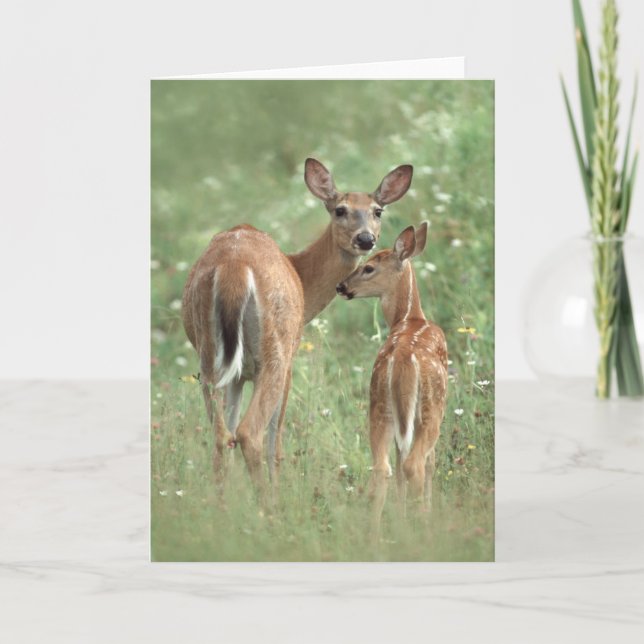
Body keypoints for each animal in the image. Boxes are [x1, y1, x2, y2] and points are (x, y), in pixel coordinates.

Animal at [181, 158, 413, 495]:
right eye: (340, 209)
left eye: (377, 210)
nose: (365, 239)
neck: (300, 273)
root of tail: (233, 269)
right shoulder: (290, 359)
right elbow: (275, 441)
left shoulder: (237, 375)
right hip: (275, 350)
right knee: (250, 433)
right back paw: (269, 505)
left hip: (210, 357)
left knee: (222, 436)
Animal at [335, 222, 448, 532]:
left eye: (368, 267)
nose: (340, 286)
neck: (409, 317)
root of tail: (402, 360)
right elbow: (429, 462)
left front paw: (400, 515)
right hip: (431, 407)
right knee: (415, 464)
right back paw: (423, 527)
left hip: (379, 403)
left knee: (383, 467)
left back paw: (378, 534)